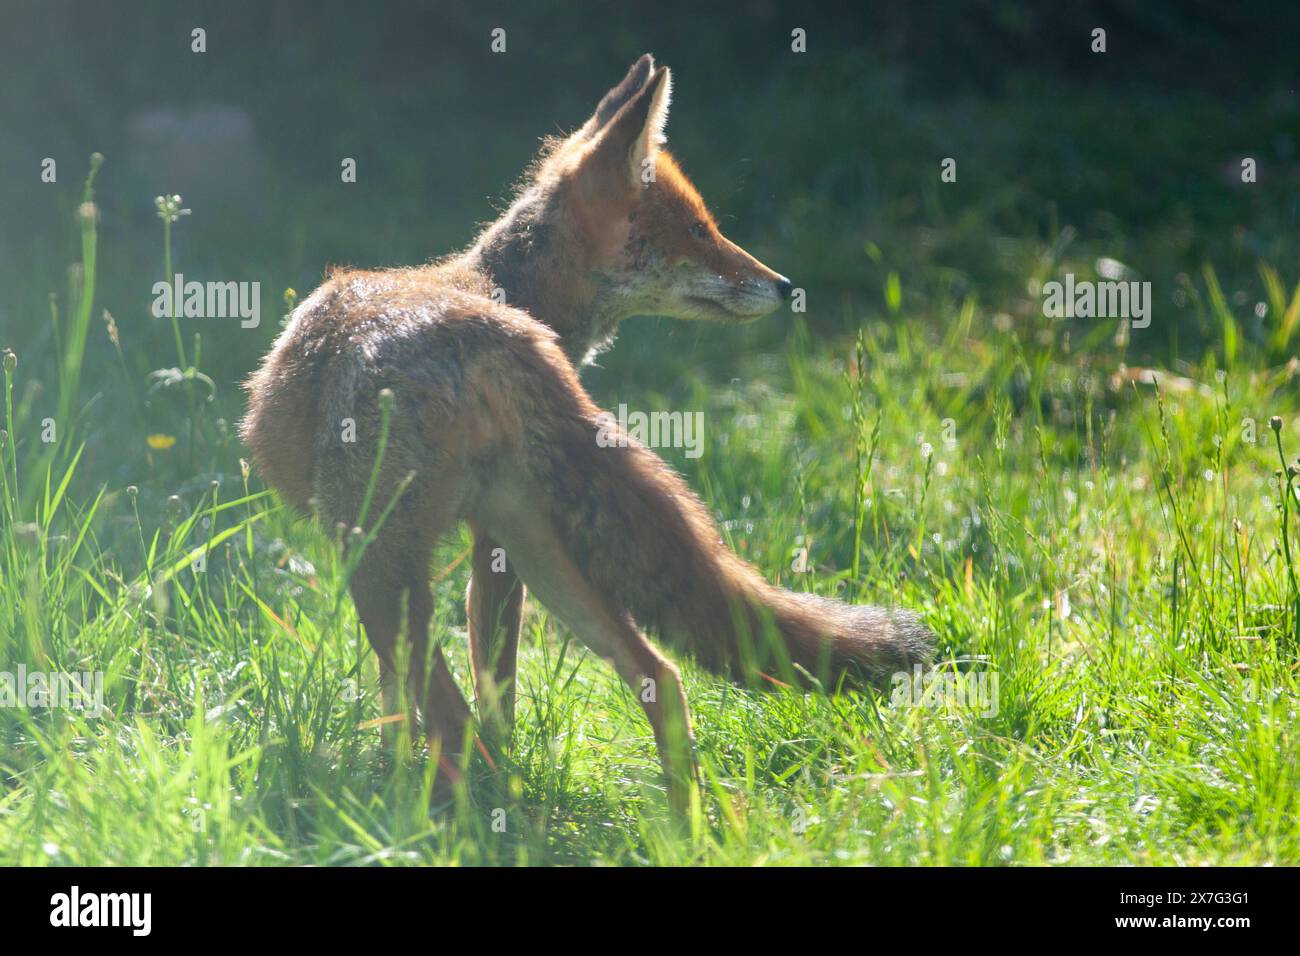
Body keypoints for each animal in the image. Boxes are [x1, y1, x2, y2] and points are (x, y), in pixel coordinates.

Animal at [241, 55, 935, 811]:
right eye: (698, 231)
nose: (783, 285)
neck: (500, 290)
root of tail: (492, 332)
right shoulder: (494, 552)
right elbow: (469, 690)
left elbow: (416, 703)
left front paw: (395, 778)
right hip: (536, 546)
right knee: (660, 675)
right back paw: (685, 822)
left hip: (381, 567)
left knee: (454, 724)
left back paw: (457, 817)